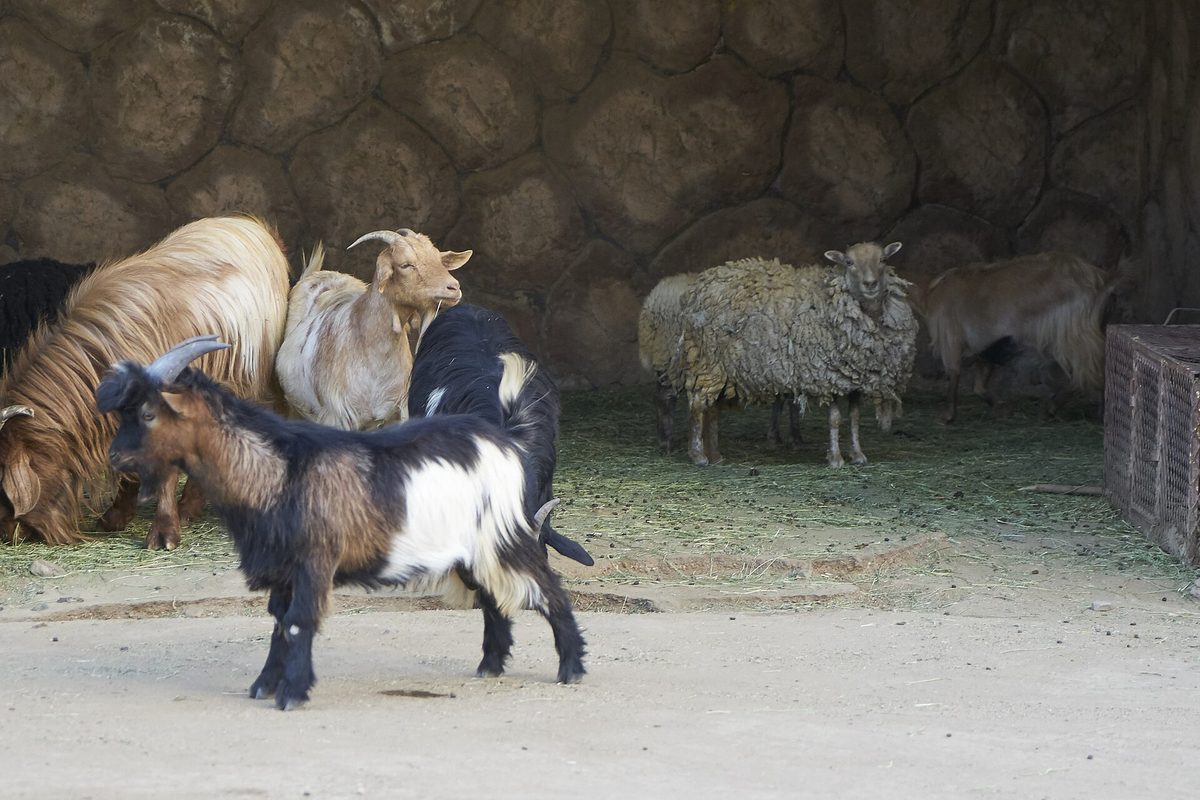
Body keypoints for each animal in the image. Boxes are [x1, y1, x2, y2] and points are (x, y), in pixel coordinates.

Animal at [97, 336, 587, 709]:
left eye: (147, 413)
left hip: (505, 533)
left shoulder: (314, 559)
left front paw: (292, 694)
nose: (115, 457)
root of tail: (507, 441)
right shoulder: (284, 567)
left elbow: (299, 621)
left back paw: (572, 668)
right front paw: (264, 686)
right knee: (492, 598)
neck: (278, 469)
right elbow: (279, 622)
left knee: (547, 588)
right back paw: (489, 667)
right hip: (472, 550)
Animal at [920, 252, 1115, 423]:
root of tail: (1100, 280)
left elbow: (954, 373)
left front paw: (947, 416)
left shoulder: (950, 336)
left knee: (1089, 372)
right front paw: (1001, 408)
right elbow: (979, 385)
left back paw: (1054, 409)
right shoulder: (985, 345)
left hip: (1073, 336)